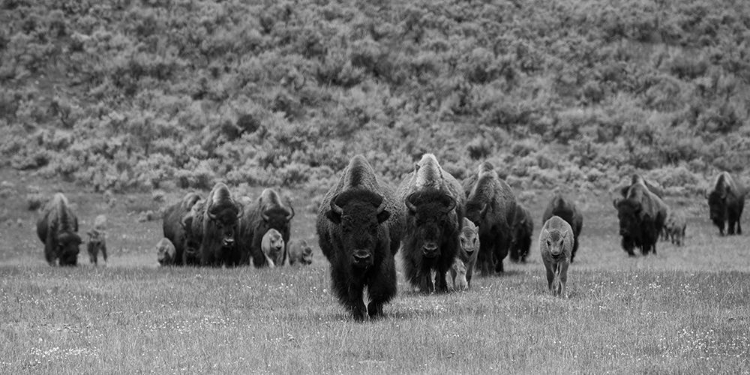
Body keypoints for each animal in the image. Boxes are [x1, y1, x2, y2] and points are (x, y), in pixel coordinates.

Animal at [318, 154, 406, 322]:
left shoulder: (383, 260)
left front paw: (373, 311)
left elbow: (379, 288)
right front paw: (360, 314)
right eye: (345, 226)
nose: (362, 257)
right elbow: (352, 291)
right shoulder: (342, 265)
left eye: (374, 226)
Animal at [400, 154, 464, 296]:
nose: (430, 249)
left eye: (442, 221)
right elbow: (423, 266)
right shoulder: (415, 246)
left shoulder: (448, 244)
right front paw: (426, 288)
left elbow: (442, 267)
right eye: (418, 221)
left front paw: (442, 287)